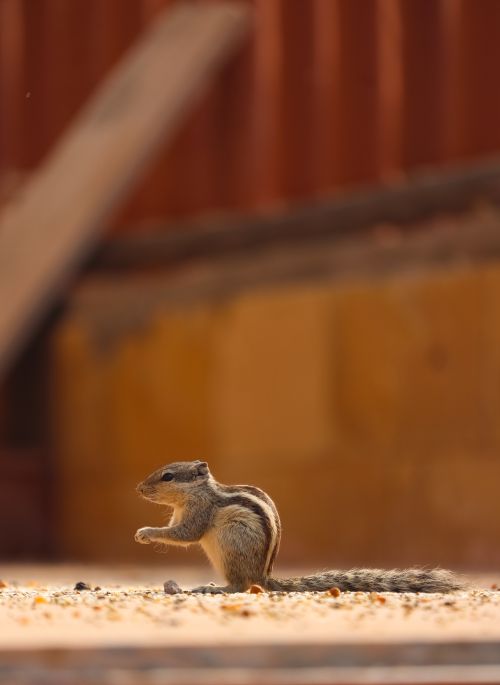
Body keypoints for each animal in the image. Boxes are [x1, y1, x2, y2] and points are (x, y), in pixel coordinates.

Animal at [135, 460, 465, 594]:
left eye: (168, 476)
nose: (139, 488)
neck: (197, 493)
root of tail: (264, 577)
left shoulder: (198, 513)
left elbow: (184, 534)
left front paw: (146, 533)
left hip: (231, 547)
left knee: (240, 586)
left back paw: (212, 588)